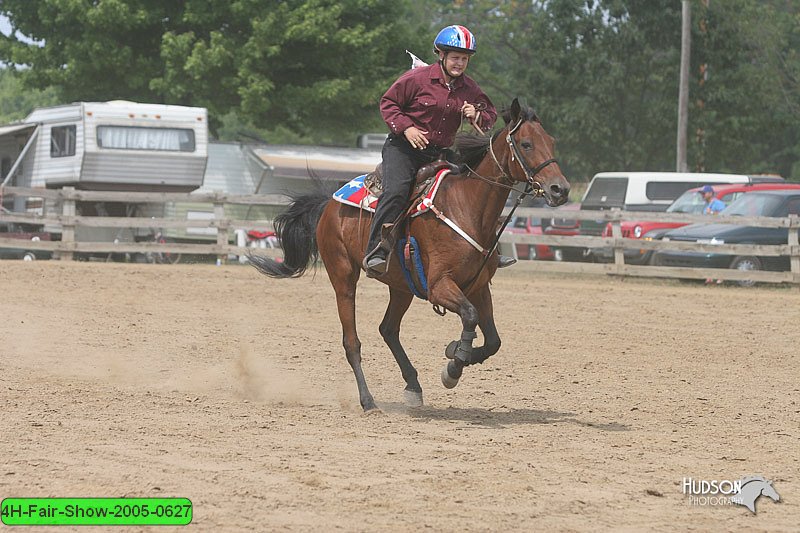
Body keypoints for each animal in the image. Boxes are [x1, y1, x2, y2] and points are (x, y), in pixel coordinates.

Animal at [250, 98, 568, 412]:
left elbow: (493, 341)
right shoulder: (440, 286)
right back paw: (368, 401)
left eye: (552, 142)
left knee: (388, 329)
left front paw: (456, 353)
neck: (467, 208)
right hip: (343, 277)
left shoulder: (478, 287)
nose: (560, 189)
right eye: (526, 144)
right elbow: (469, 317)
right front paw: (453, 368)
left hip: (401, 285)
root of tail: (328, 203)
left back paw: (413, 386)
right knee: (352, 342)